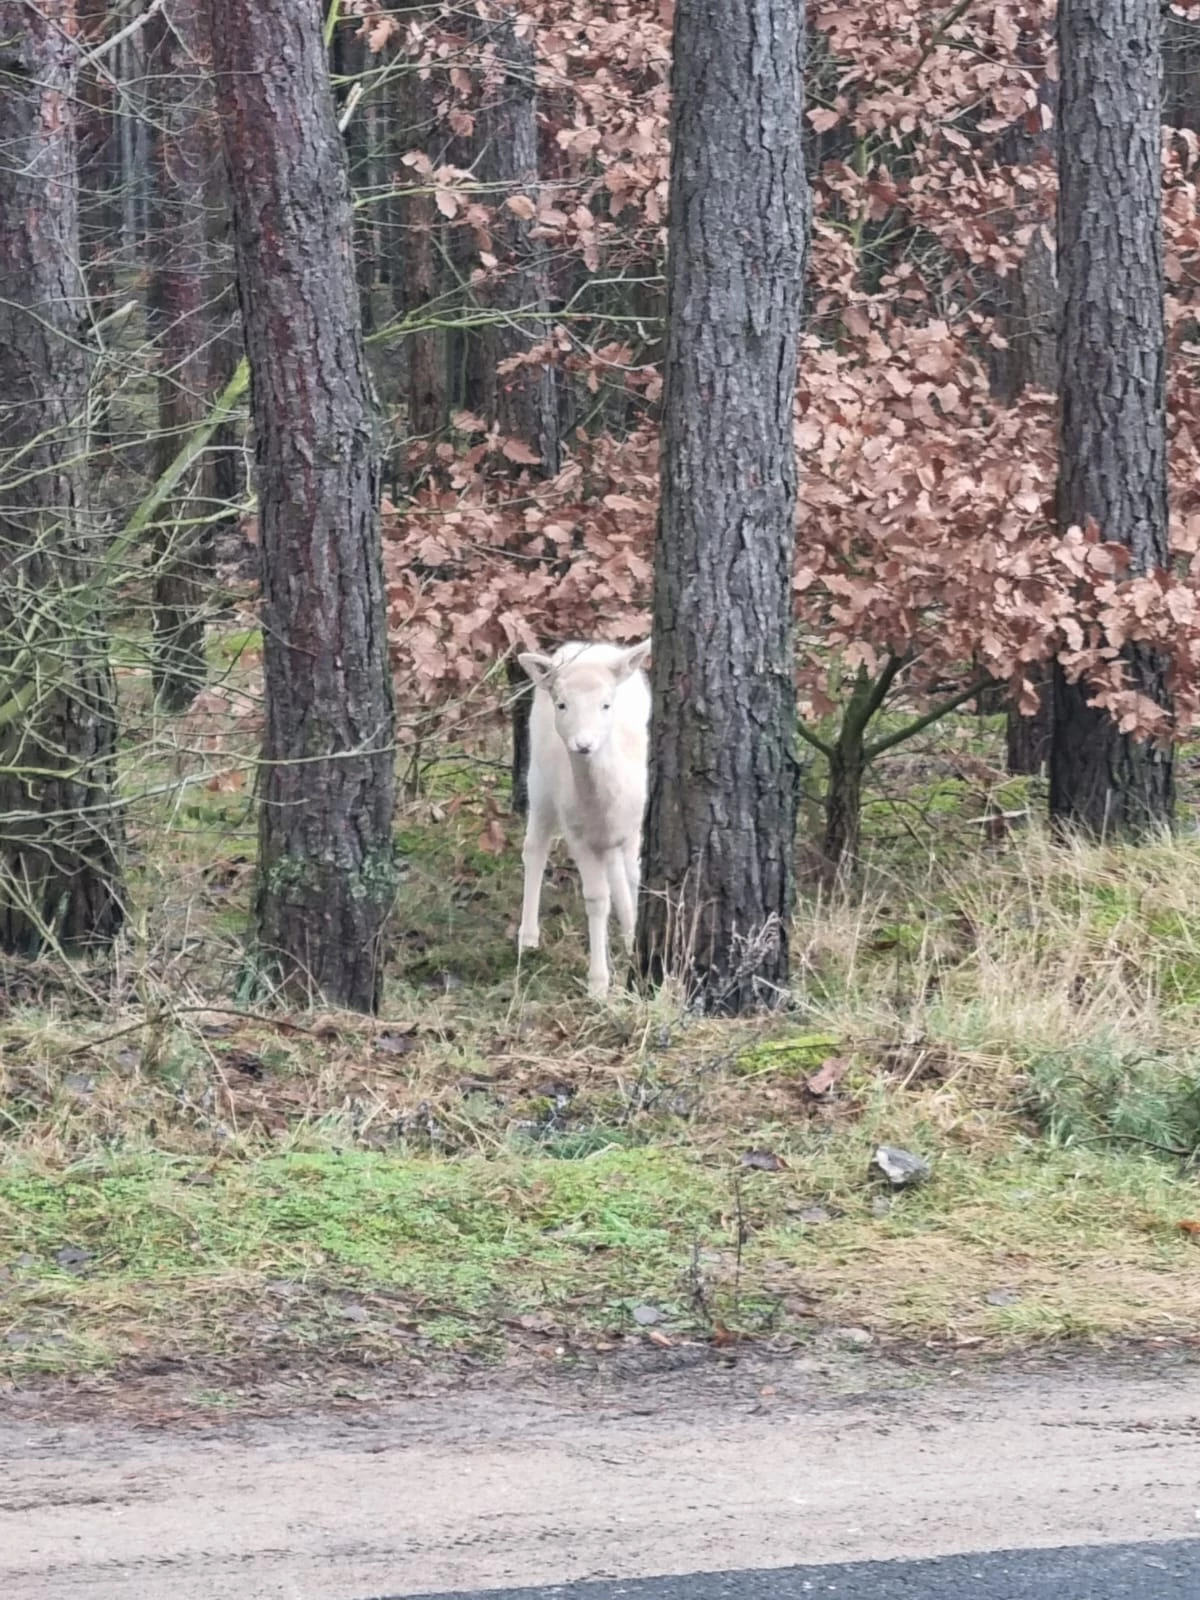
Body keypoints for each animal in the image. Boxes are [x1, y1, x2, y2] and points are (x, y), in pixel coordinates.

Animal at [515, 640, 652, 992]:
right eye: (562, 704)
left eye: (606, 705)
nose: (584, 744)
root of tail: (581, 645)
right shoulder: (576, 833)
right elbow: (596, 899)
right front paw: (598, 983)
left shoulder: (635, 825)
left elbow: (635, 877)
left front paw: (633, 941)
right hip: (539, 781)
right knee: (534, 849)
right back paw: (528, 937)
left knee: (618, 871)